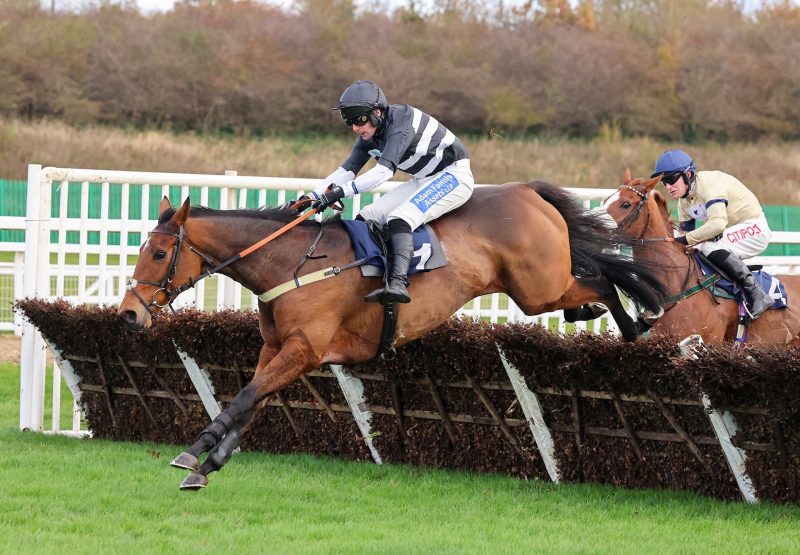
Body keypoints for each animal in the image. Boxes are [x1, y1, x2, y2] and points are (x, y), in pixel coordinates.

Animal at [120, 180, 668, 488]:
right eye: (143, 248)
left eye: (159, 253)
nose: (127, 315)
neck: (291, 262)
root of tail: (528, 191)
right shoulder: (277, 348)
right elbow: (251, 400)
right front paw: (208, 463)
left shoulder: (304, 349)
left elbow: (245, 397)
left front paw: (195, 452)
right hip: (538, 288)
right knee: (593, 278)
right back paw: (596, 314)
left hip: (539, 287)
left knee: (604, 276)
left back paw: (635, 325)